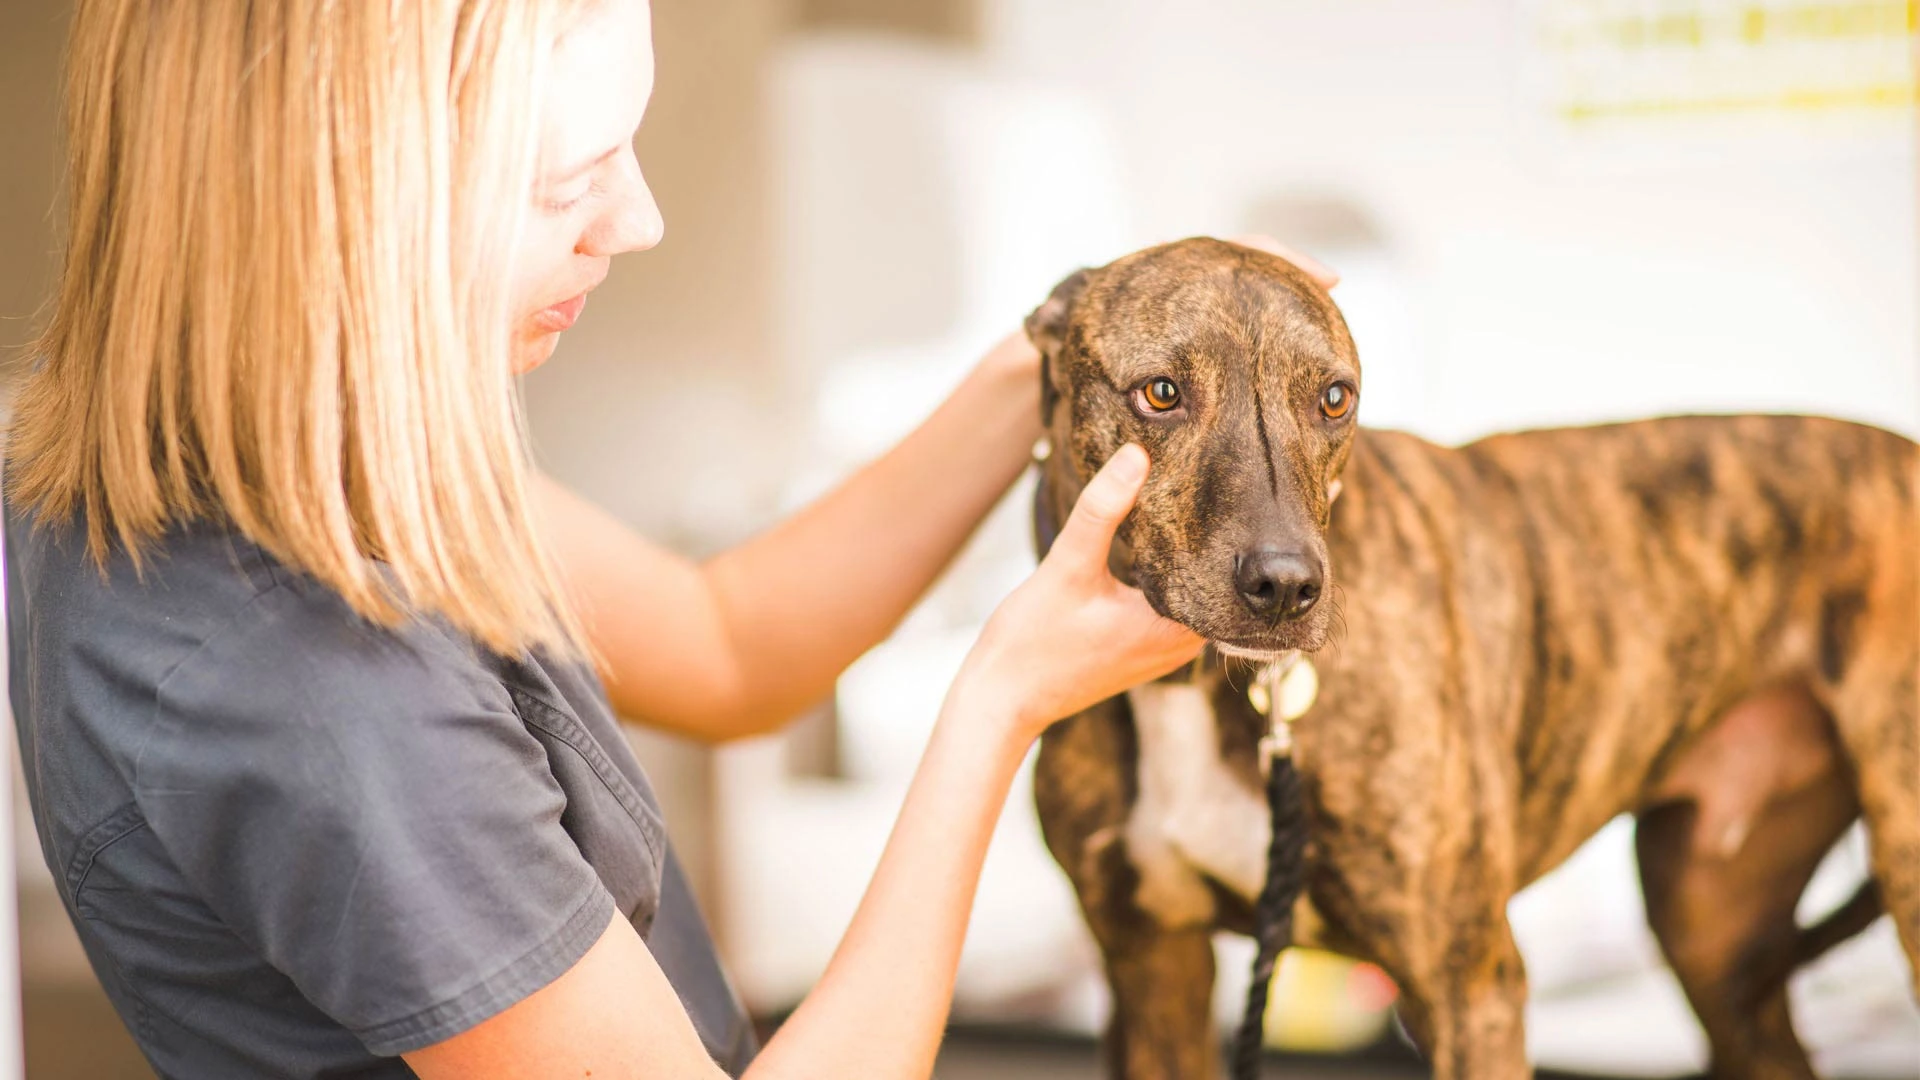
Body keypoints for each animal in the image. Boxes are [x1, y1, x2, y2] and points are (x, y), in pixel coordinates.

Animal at [1036, 235, 1920, 1076]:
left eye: (1334, 398)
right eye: (1160, 392)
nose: (1287, 587)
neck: (1188, 690)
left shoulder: (1468, 988)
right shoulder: (1154, 972)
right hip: (1716, 946)